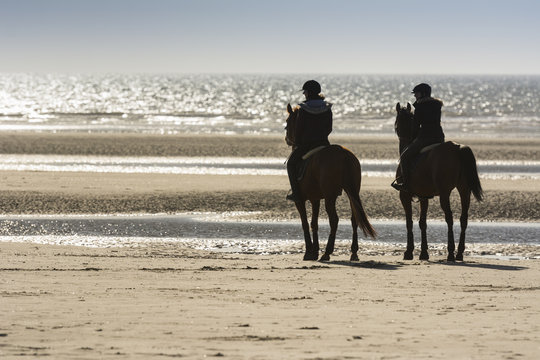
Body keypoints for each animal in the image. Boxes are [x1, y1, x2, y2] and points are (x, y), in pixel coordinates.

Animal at [284, 103, 378, 262]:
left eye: (287, 123)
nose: (287, 139)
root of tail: (343, 154)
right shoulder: (315, 199)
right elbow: (314, 223)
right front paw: (314, 251)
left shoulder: (301, 200)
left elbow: (305, 223)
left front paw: (309, 251)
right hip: (351, 192)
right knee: (354, 219)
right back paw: (354, 252)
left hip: (330, 196)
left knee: (334, 220)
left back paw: (327, 252)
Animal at [394, 103, 484, 262]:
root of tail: (457, 147)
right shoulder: (423, 197)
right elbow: (422, 223)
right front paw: (424, 253)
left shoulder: (404, 195)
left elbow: (409, 222)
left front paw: (409, 252)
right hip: (464, 190)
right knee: (463, 219)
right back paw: (459, 253)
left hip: (444, 193)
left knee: (450, 218)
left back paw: (451, 253)